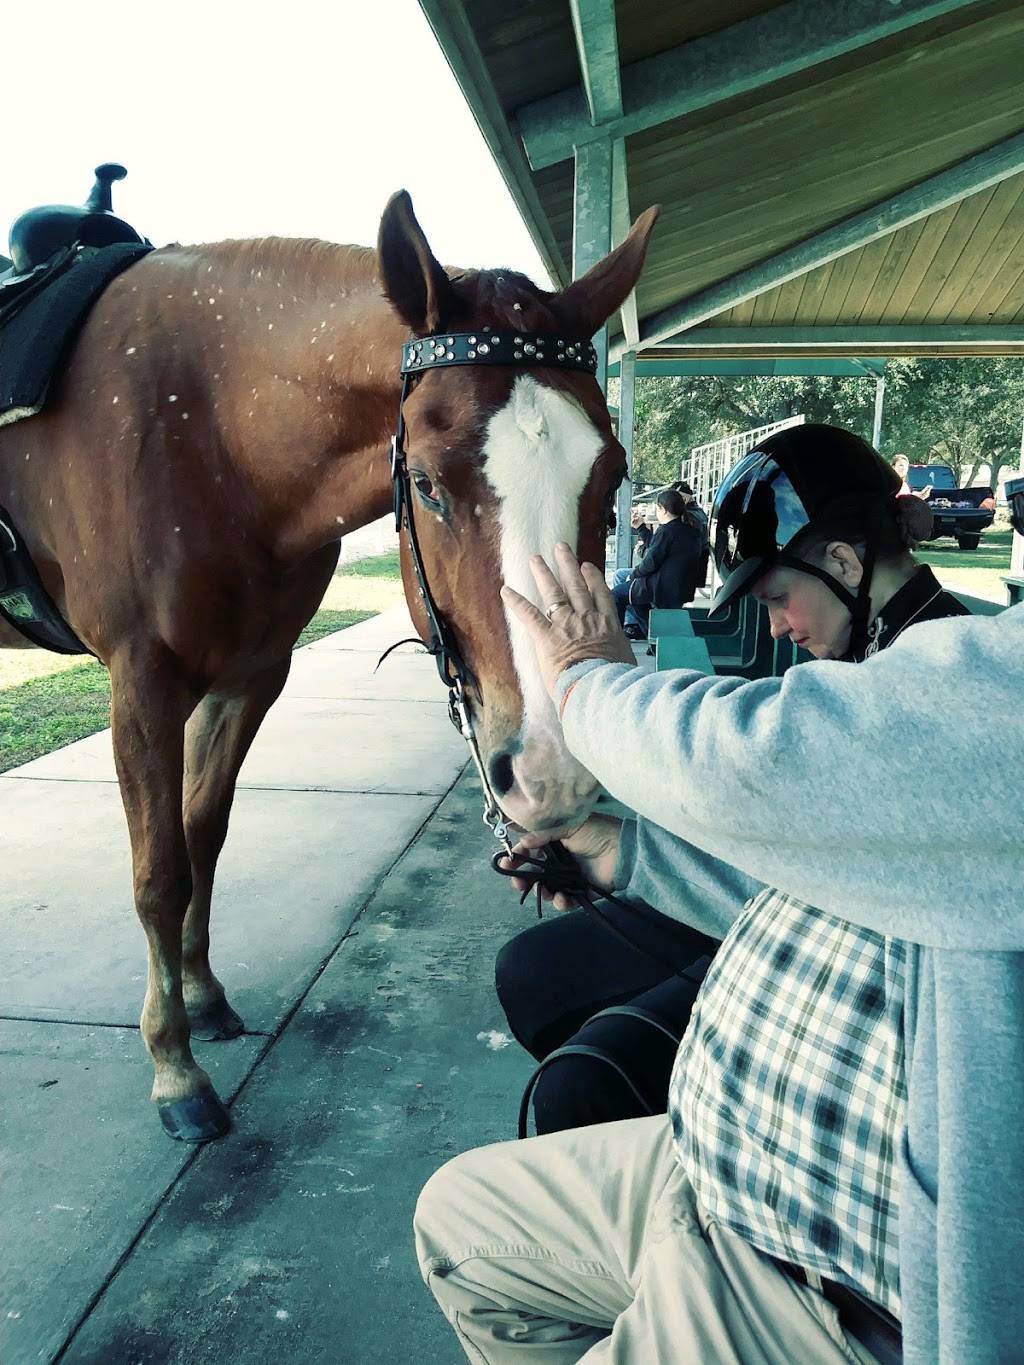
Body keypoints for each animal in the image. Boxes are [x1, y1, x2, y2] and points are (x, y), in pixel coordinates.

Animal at [0, 189, 658, 1130]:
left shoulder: (250, 675)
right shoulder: (143, 679)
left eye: (610, 478)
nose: (552, 773)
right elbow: (160, 870)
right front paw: (175, 1067)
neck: (209, 425)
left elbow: (204, 833)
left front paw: (203, 995)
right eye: (425, 483)